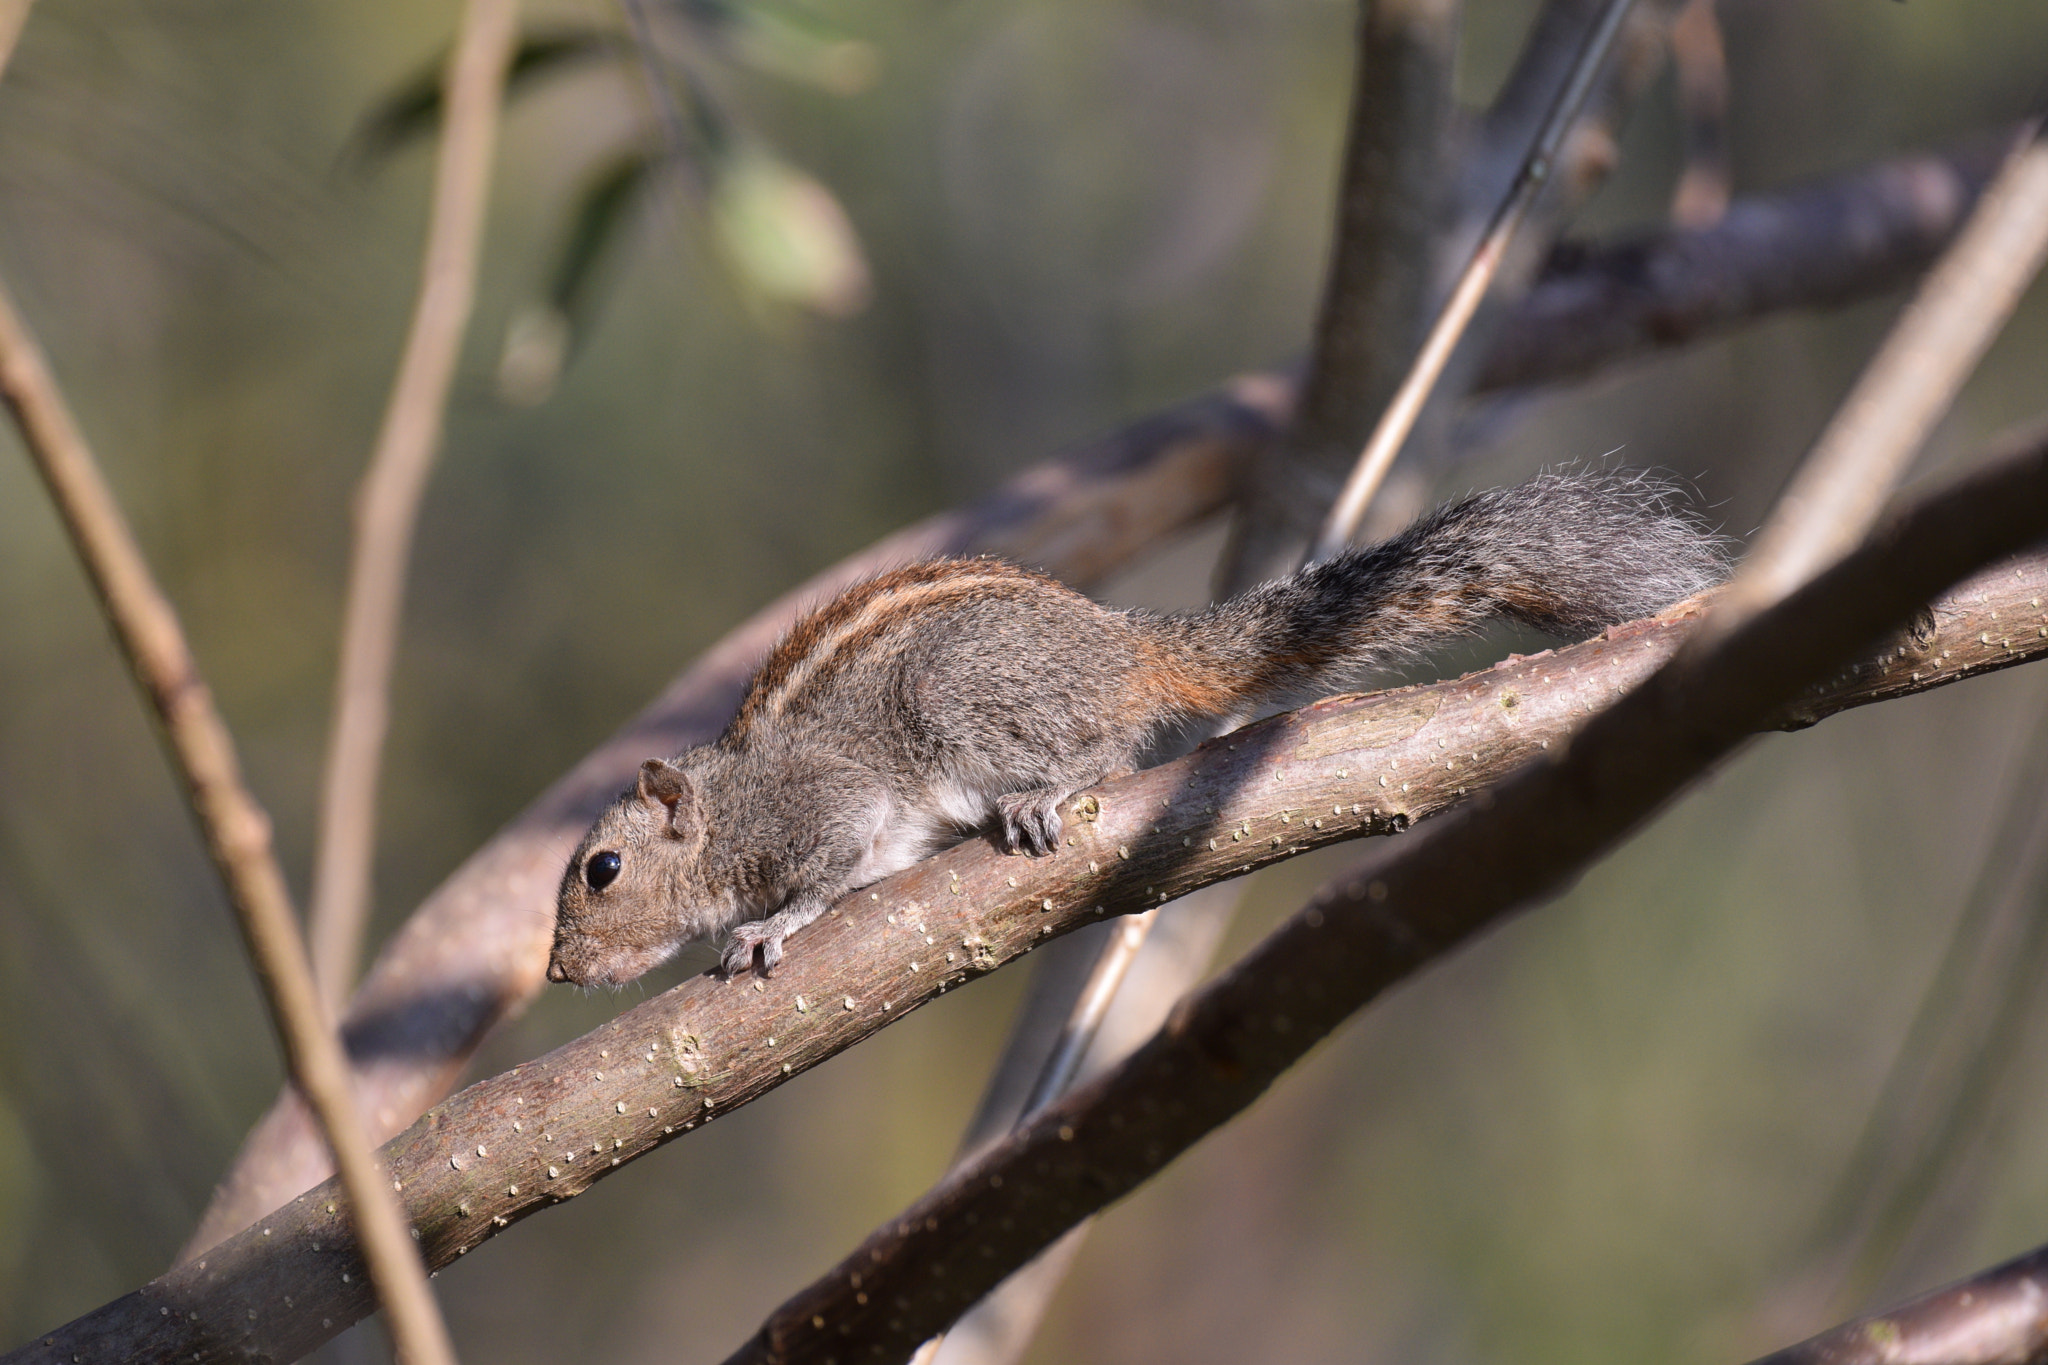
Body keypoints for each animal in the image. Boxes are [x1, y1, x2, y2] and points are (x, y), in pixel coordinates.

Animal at [547, 470, 1723, 987]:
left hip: (962, 699)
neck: (724, 806)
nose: (559, 974)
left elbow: (829, 863)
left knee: (1105, 751)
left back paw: (1050, 791)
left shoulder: (820, 804)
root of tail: (1123, 646)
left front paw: (771, 926)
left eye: (603, 870)